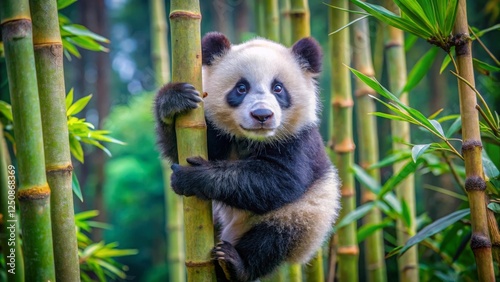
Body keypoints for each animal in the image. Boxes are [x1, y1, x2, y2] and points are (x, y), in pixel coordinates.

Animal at [154, 32, 342, 282]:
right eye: (241, 88)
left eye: (278, 88)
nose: (262, 115)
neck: (252, 139)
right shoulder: (218, 135)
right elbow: (179, 148)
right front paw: (174, 101)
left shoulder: (299, 142)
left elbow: (279, 181)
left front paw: (193, 176)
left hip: (305, 221)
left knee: (272, 240)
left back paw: (234, 264)